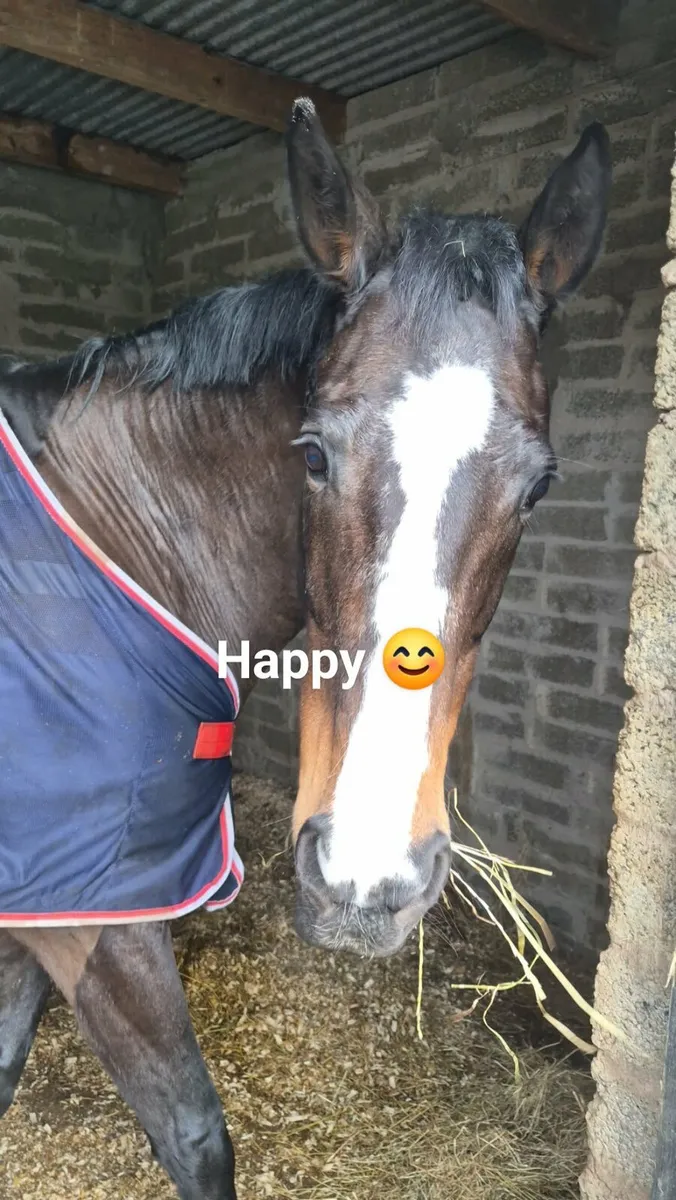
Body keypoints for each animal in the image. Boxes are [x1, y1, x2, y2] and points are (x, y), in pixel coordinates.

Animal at [0, 98, 611, 1199]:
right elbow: (195, 1133)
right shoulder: (98, 917)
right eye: (314, 454)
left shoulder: (47, 907)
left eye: (538, 486)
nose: (365, 880)